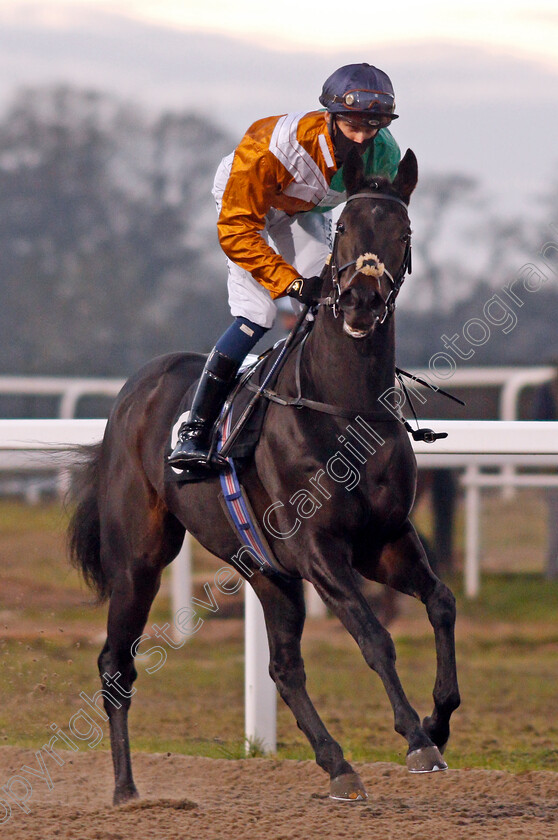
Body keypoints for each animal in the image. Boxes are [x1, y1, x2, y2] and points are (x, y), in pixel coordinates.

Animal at [68, 148, 460, 804]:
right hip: (138, 561)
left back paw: (337, 764)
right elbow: (374, 636)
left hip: (264, 569)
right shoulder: (319, 550)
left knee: (282, 666)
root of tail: (132, 392)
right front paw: (416, 738)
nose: (360, 302)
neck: (343, 407)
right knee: (115, 664)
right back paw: (125, 790)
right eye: (343, 228)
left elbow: (441, 604)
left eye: (402, 232)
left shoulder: (383, 541)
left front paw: (438, 720)